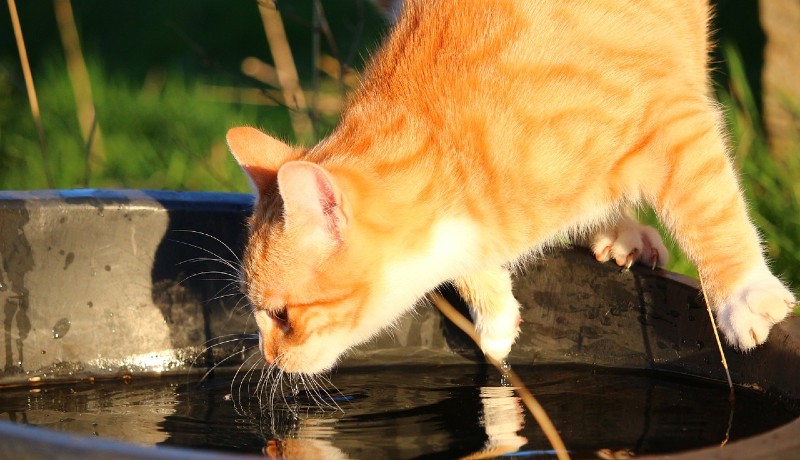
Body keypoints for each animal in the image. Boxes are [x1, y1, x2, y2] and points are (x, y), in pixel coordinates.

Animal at [225, 0, 792, 374]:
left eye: (281, 315)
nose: (268, 359)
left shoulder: (672, 121)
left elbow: (711, 209)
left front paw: (744, 293)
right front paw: (494, 316)